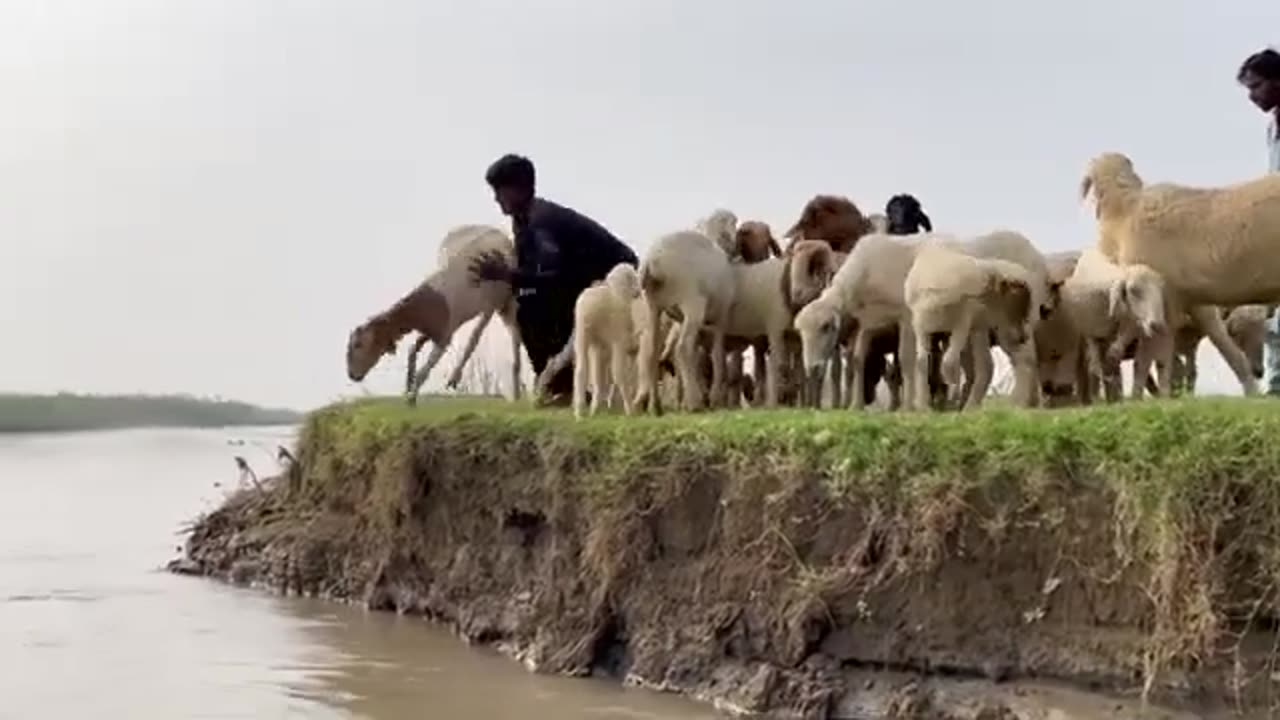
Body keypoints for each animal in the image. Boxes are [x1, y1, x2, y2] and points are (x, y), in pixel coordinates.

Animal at [343, 224, 522, 404]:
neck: (429, 301)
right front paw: (408, 386)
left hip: (499, 303)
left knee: (486, 335)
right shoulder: (430, 331)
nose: (352, 376)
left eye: (358, 344)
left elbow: (428, 365)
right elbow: (412, 351)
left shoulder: (444, 337)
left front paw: (412, 396)